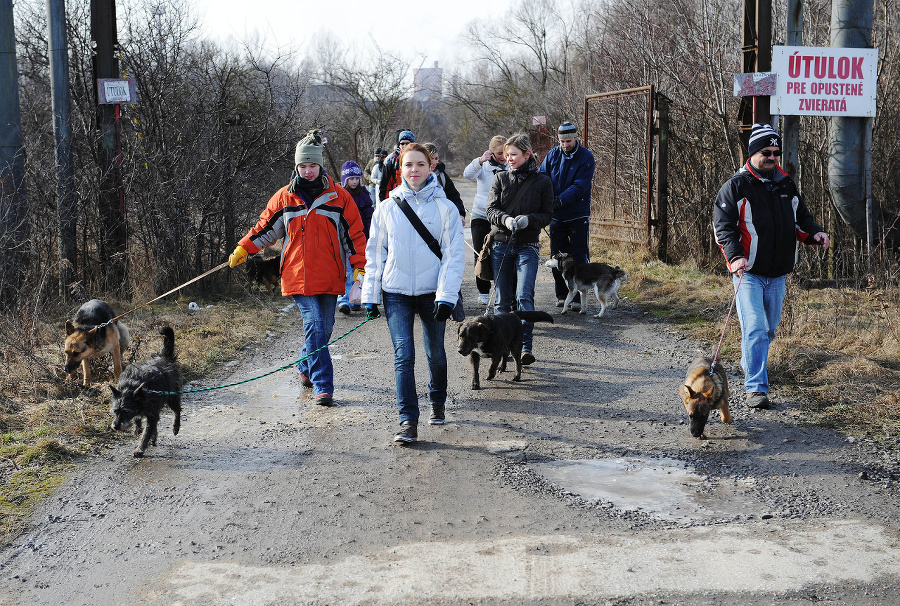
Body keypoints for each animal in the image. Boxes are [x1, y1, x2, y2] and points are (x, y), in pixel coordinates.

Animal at [110, 326, 183, 458]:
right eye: (115, 411)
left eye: (126, 411)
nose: (115, 426)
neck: (132, 388)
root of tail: (164, 356)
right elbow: (139, 421)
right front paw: (138, 429)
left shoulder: (152, 415)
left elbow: (146, 433)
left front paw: (140, 448)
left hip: (172, 397)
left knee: (177, 410)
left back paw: (176, 426)